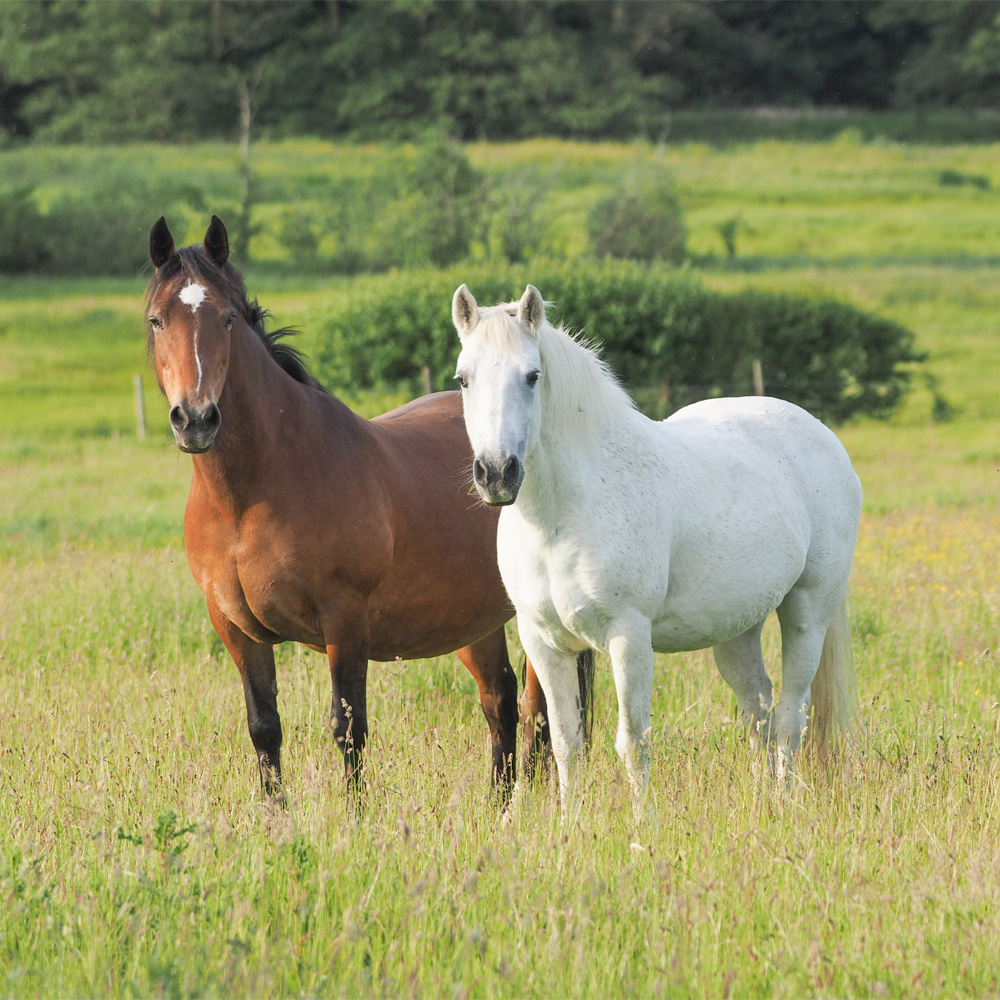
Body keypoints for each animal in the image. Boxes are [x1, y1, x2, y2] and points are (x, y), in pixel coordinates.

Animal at [145, 215, 588, 800]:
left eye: (227, 318)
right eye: (156, 320)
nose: (195, 419)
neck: (250, 497)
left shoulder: (345, 620)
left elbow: (347, 728)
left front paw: (354, 817)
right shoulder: (238, 632)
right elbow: (264, 729)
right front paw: (275, 817)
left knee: (542, 711)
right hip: (477, 620)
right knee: (501, 703)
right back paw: (498, 805)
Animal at [454, 282, 860, 812]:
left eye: (532, 375)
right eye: (463, 379)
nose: (497, 473)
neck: (562, 516)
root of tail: (822, 434)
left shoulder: (629, 637)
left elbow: (633, 742)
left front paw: (641, 827)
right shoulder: (543, 642)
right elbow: (565, 743)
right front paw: (570, 824)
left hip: (808, 613)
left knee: (792, 716)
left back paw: (784, 805)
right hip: (736, 630)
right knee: (760, 712)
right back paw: (760, 806)